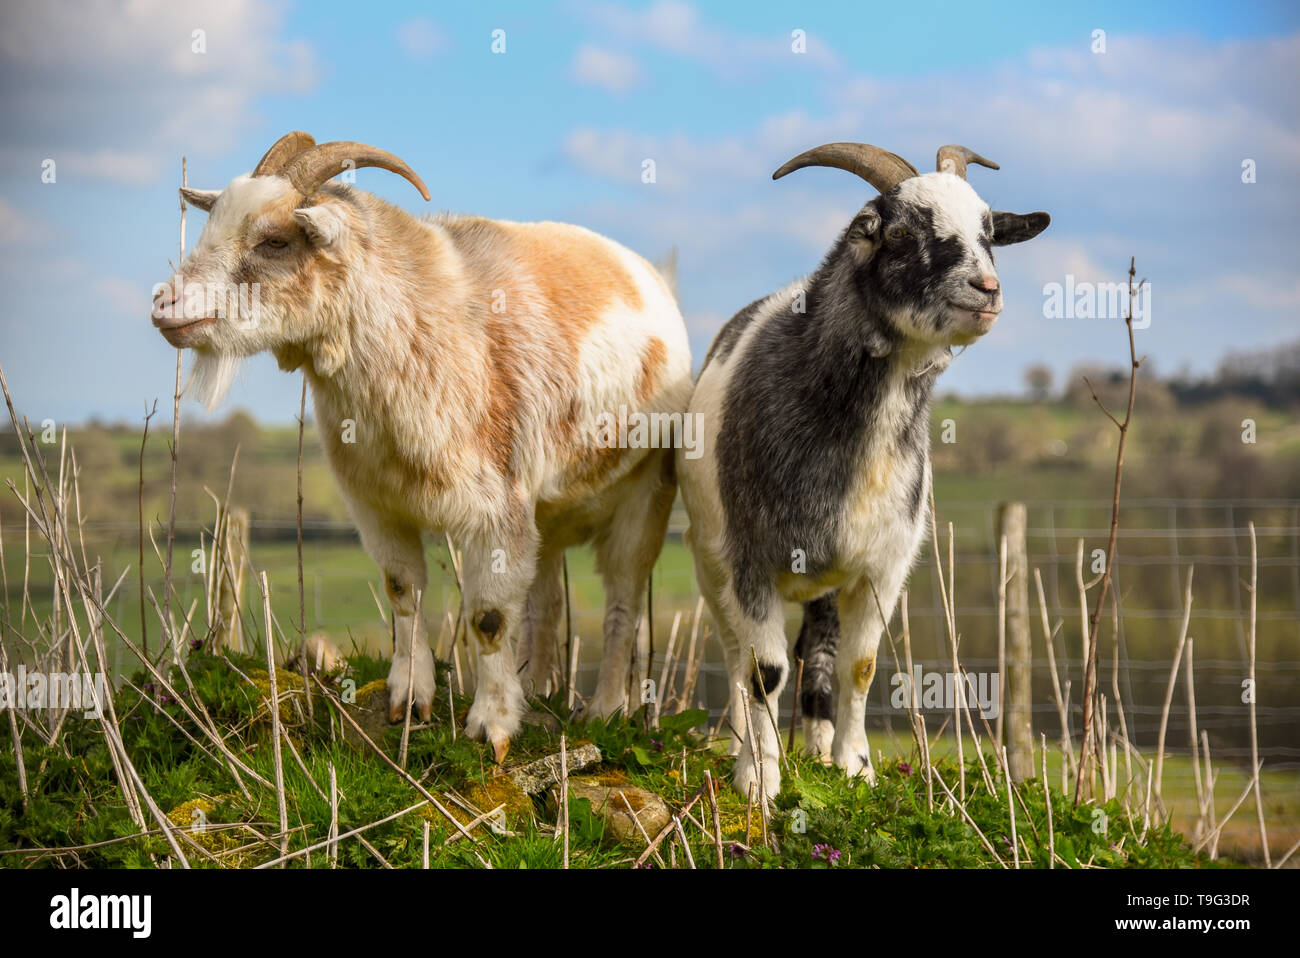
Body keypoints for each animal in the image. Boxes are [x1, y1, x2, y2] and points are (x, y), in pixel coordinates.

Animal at [153, 130, 696, 759]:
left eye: (274, 240)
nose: (164, 305)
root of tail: (656, 279)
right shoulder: (378, 505)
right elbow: (403, 592)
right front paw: (410, 699)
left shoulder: (498, 508)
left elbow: (488, 616)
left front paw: (492, 727)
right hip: (548, 514)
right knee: (546, 602)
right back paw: (537, 690)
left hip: (645, 494)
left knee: (622, 605)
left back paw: (604, 709)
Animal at [676, 138, 1050, 795]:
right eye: (897, 232)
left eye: (989, 232)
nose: (986, 288)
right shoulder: (750, 559)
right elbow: (764, 669)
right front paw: (761, 779)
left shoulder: (882, 566)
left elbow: (861, 665)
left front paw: (855, 767)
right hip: (710, 560)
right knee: (737, 654)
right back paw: (750, 746)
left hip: (825, 577)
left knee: (819, 651)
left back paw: (818, 749)